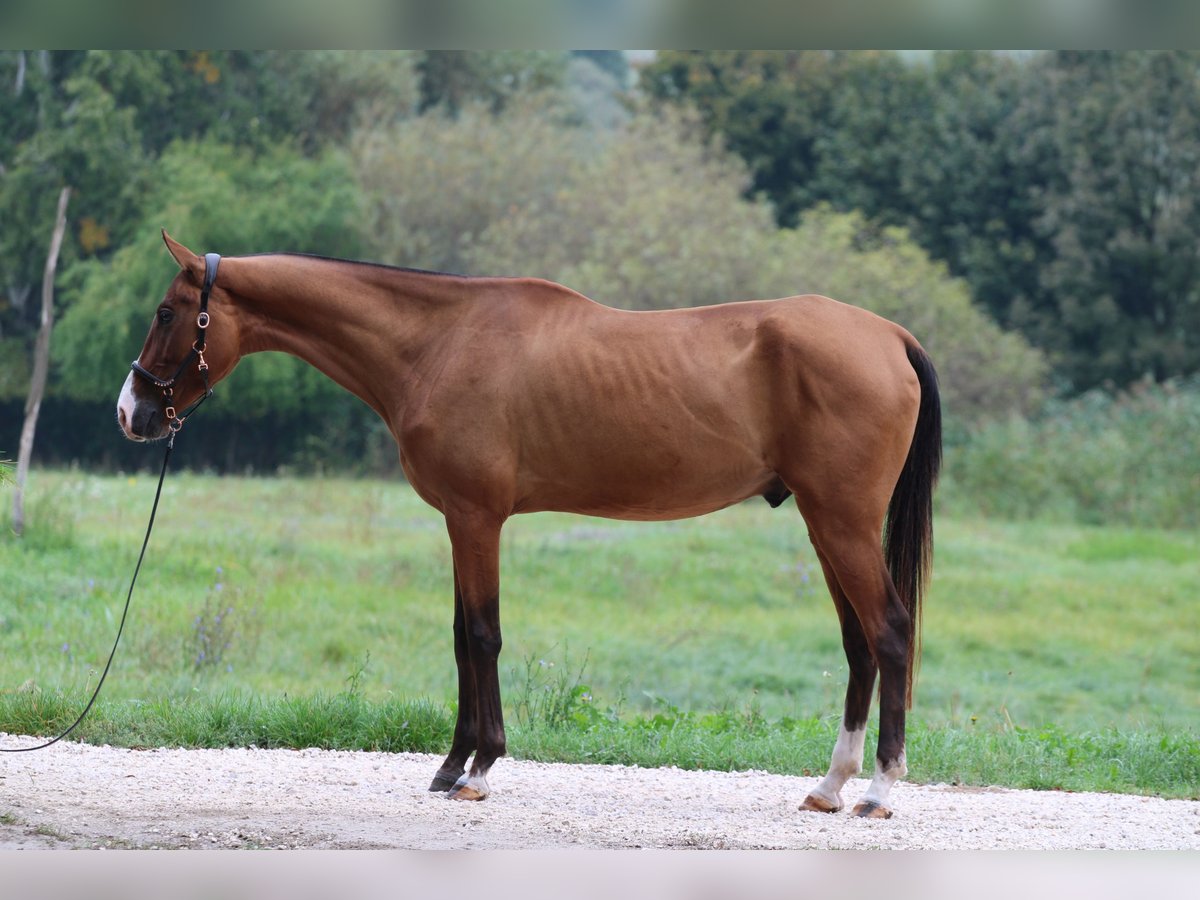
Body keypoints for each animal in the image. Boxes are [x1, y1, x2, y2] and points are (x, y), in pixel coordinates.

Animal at [117, 230, 940, 816]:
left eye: (165, 312)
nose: (131, 413)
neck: (439, 342)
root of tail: (891, 336)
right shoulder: (459, 521)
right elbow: (460, 638)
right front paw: (450, 766)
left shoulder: (477, 518)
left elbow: (483, 635)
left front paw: (479, 769)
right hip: (825, 525)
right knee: (859, 645)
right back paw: (830, 786)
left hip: (842, 522)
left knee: (891, 632)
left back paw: (878, 790)